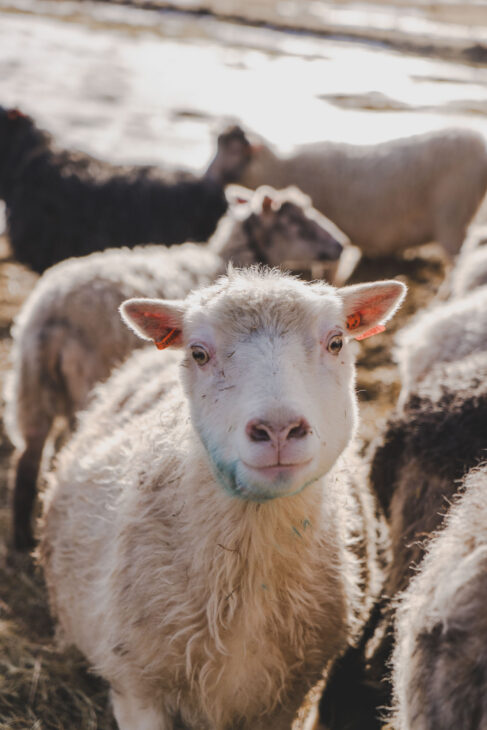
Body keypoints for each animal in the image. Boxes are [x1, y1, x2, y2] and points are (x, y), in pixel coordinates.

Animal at [4, 182, 346, 544]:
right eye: (296, 222)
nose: (340, 246)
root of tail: (51, 312)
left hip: (31, 388)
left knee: (28, 460)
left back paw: (22, 536)